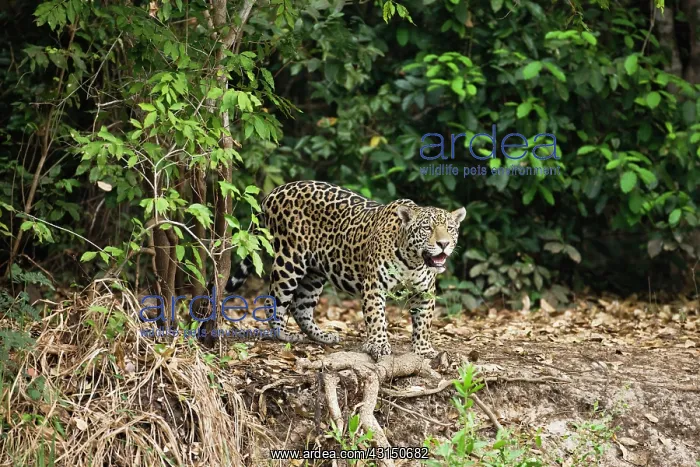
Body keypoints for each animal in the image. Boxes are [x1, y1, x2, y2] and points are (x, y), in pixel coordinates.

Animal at [223, 180, 466, 360]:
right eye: (427, 228)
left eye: (450, 229)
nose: (444, 243)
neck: (413, 261)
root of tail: (274, 191)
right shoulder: (374, 286)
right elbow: (376, 317)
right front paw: (379, 345)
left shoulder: (424, 291)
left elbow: (424, 322)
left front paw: (423, 349)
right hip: (289, 261)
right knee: (274, 299)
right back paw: (283, 335)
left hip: (314, 273)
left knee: (301, 307)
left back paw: (323, 336)